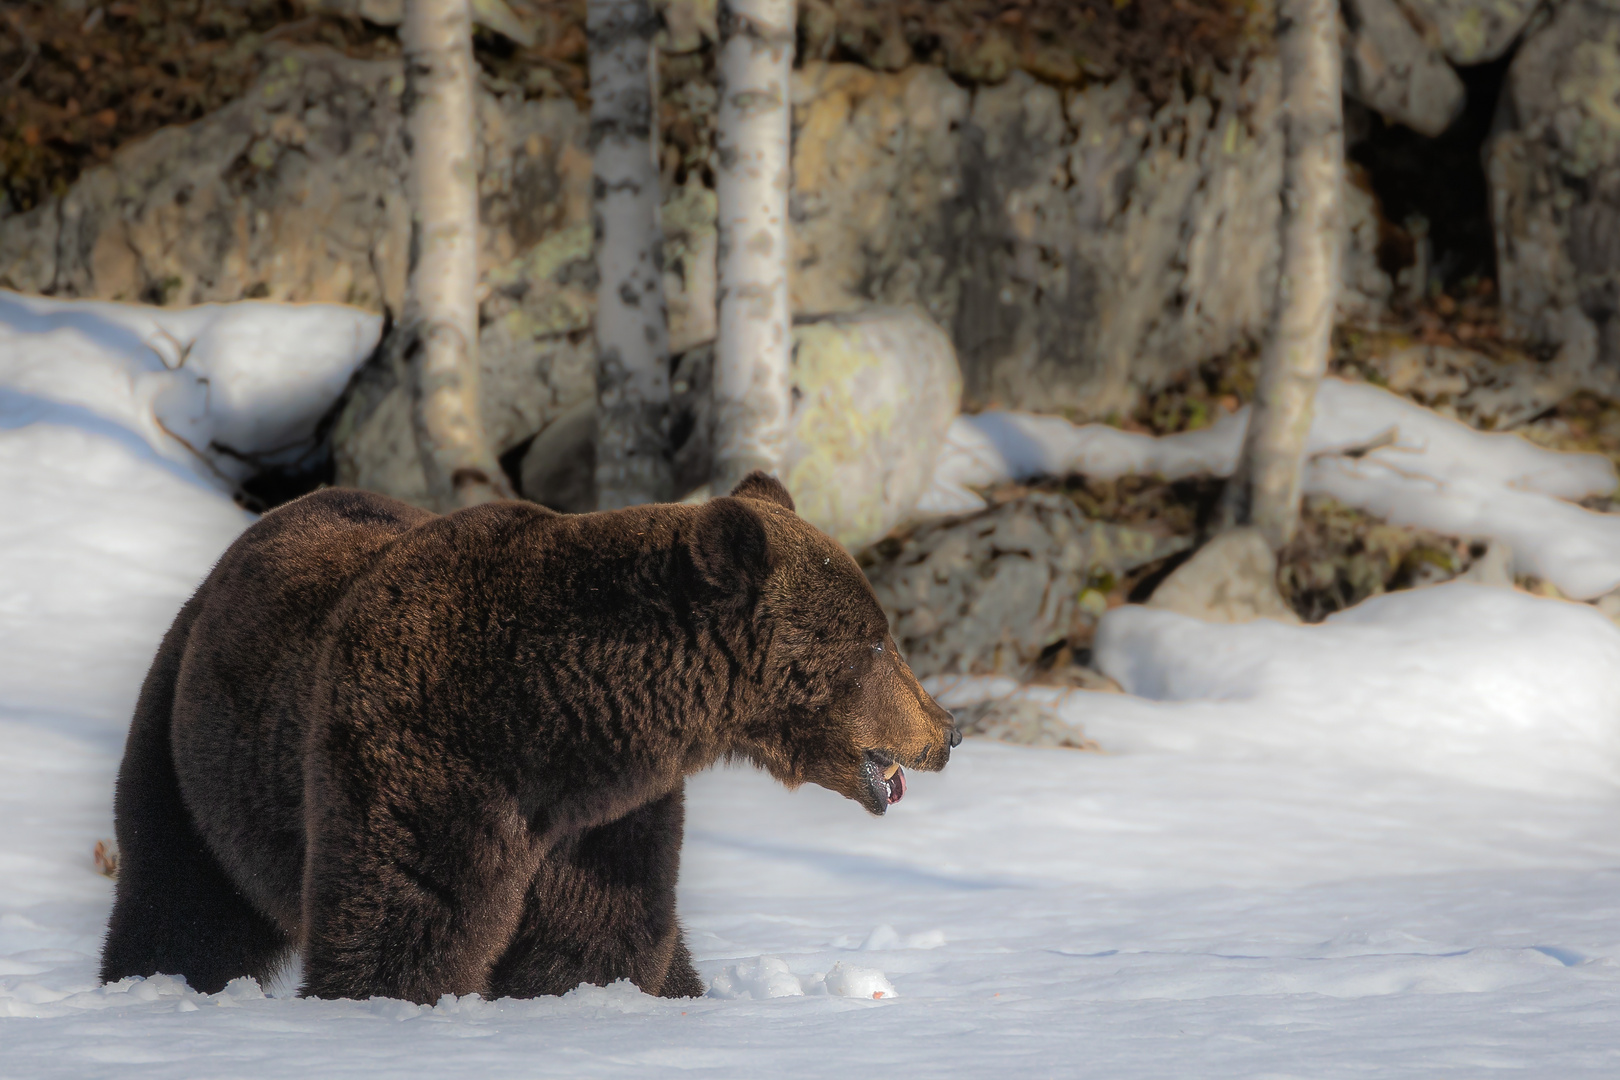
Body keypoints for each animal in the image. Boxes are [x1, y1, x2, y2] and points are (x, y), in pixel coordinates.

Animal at [98, 472, 959, 1003]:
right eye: (875, 640)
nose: (946, 730)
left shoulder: (607, 820)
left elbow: (597, 939)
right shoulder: (424, 752)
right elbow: (405, 920)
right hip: (191, 751)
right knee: (178, 904)